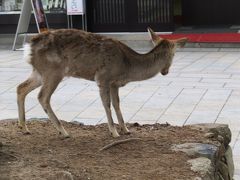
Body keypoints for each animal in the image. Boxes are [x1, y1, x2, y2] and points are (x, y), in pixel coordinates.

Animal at [16, 28, 188, 138]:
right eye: (174, 54)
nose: (165, 71)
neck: (127, 66)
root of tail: (29, 46)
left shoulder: (114, 84)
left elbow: (117, 104)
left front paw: (126, 129)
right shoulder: (103, 78)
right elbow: (107, 104)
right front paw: (114, 132)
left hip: (39, 72)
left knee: (21, 87)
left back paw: (24, 128)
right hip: (53, 71)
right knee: (43, 97)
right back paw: (63, 132)